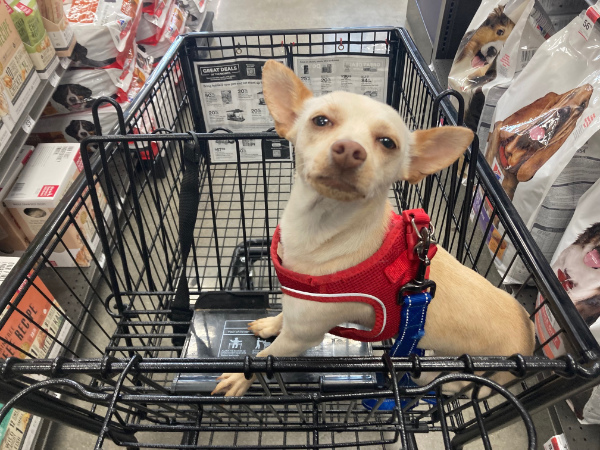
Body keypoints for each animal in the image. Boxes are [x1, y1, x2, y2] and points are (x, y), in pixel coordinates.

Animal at [212, 59, 536, 398]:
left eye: (387, 143)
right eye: (320, 121)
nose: (349, 149)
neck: (317, 226)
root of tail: (531, 338)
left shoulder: (302, 336)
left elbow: (266, 358)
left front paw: (241, 377)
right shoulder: (296, 310)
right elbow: (282, 318)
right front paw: (271, 324)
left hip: (473, 378)